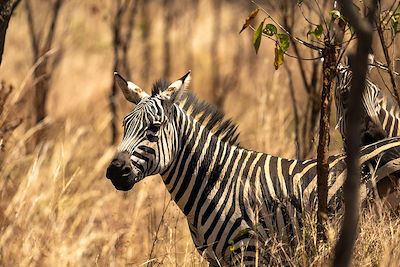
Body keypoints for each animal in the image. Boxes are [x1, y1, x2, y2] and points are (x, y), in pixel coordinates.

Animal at [107, 71, 400, 266]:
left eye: (154, 128)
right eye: (124, 124)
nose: (115, 171)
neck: (216, 182)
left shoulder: (248, 250)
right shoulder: (216, 259)